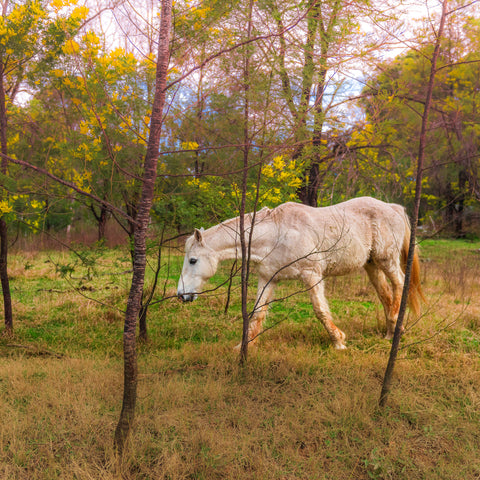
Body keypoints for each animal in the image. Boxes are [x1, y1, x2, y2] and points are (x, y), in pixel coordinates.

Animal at [177, 197, 424, 350]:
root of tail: (392, 207)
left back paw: (395, 325)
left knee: (400, 284)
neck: (277, 234)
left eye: (192, 260)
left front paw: (339, 342)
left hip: (386, 260)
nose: (181, 295)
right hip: (371, 265)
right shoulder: (268, 279)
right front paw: (243, 347)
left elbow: (320, 310)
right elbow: (257, 314)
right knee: (385, 295)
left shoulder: (312, 275)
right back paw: (390, 332)